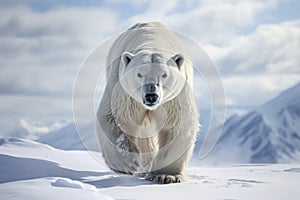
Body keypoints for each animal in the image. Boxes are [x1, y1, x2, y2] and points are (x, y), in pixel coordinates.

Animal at [96, 21, 199, 183]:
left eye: (164, 74)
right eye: (139, 74)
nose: (151, 96)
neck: (152, 41)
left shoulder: (175, 96)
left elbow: (179, 125)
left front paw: (166, 175)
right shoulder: (123, 88)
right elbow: (113, 117)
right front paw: (130, 163)